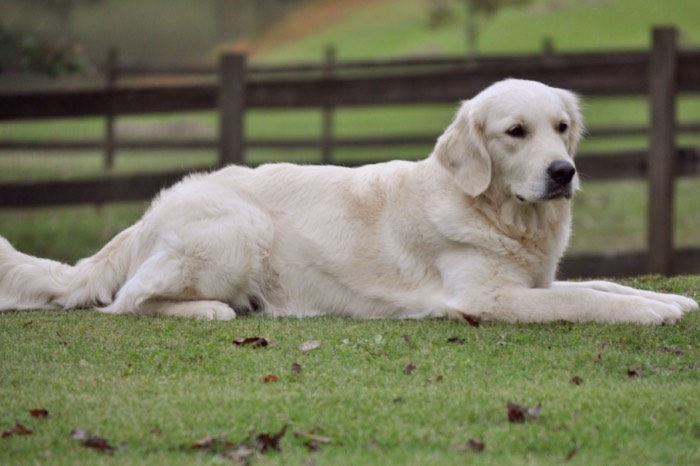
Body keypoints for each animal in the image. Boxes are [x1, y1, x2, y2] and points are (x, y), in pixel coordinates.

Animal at [0, 78, 696, 322]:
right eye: (515, 132)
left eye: (561, 127)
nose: (563, 172)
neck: (495, 210)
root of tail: (149, 212)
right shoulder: (486, 297)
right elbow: (586, 299)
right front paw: (652, 314)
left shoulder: (536, 279)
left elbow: (604, 284)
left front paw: (671, 299)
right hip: (238, 231)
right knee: (126, 301)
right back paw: (215, 310)